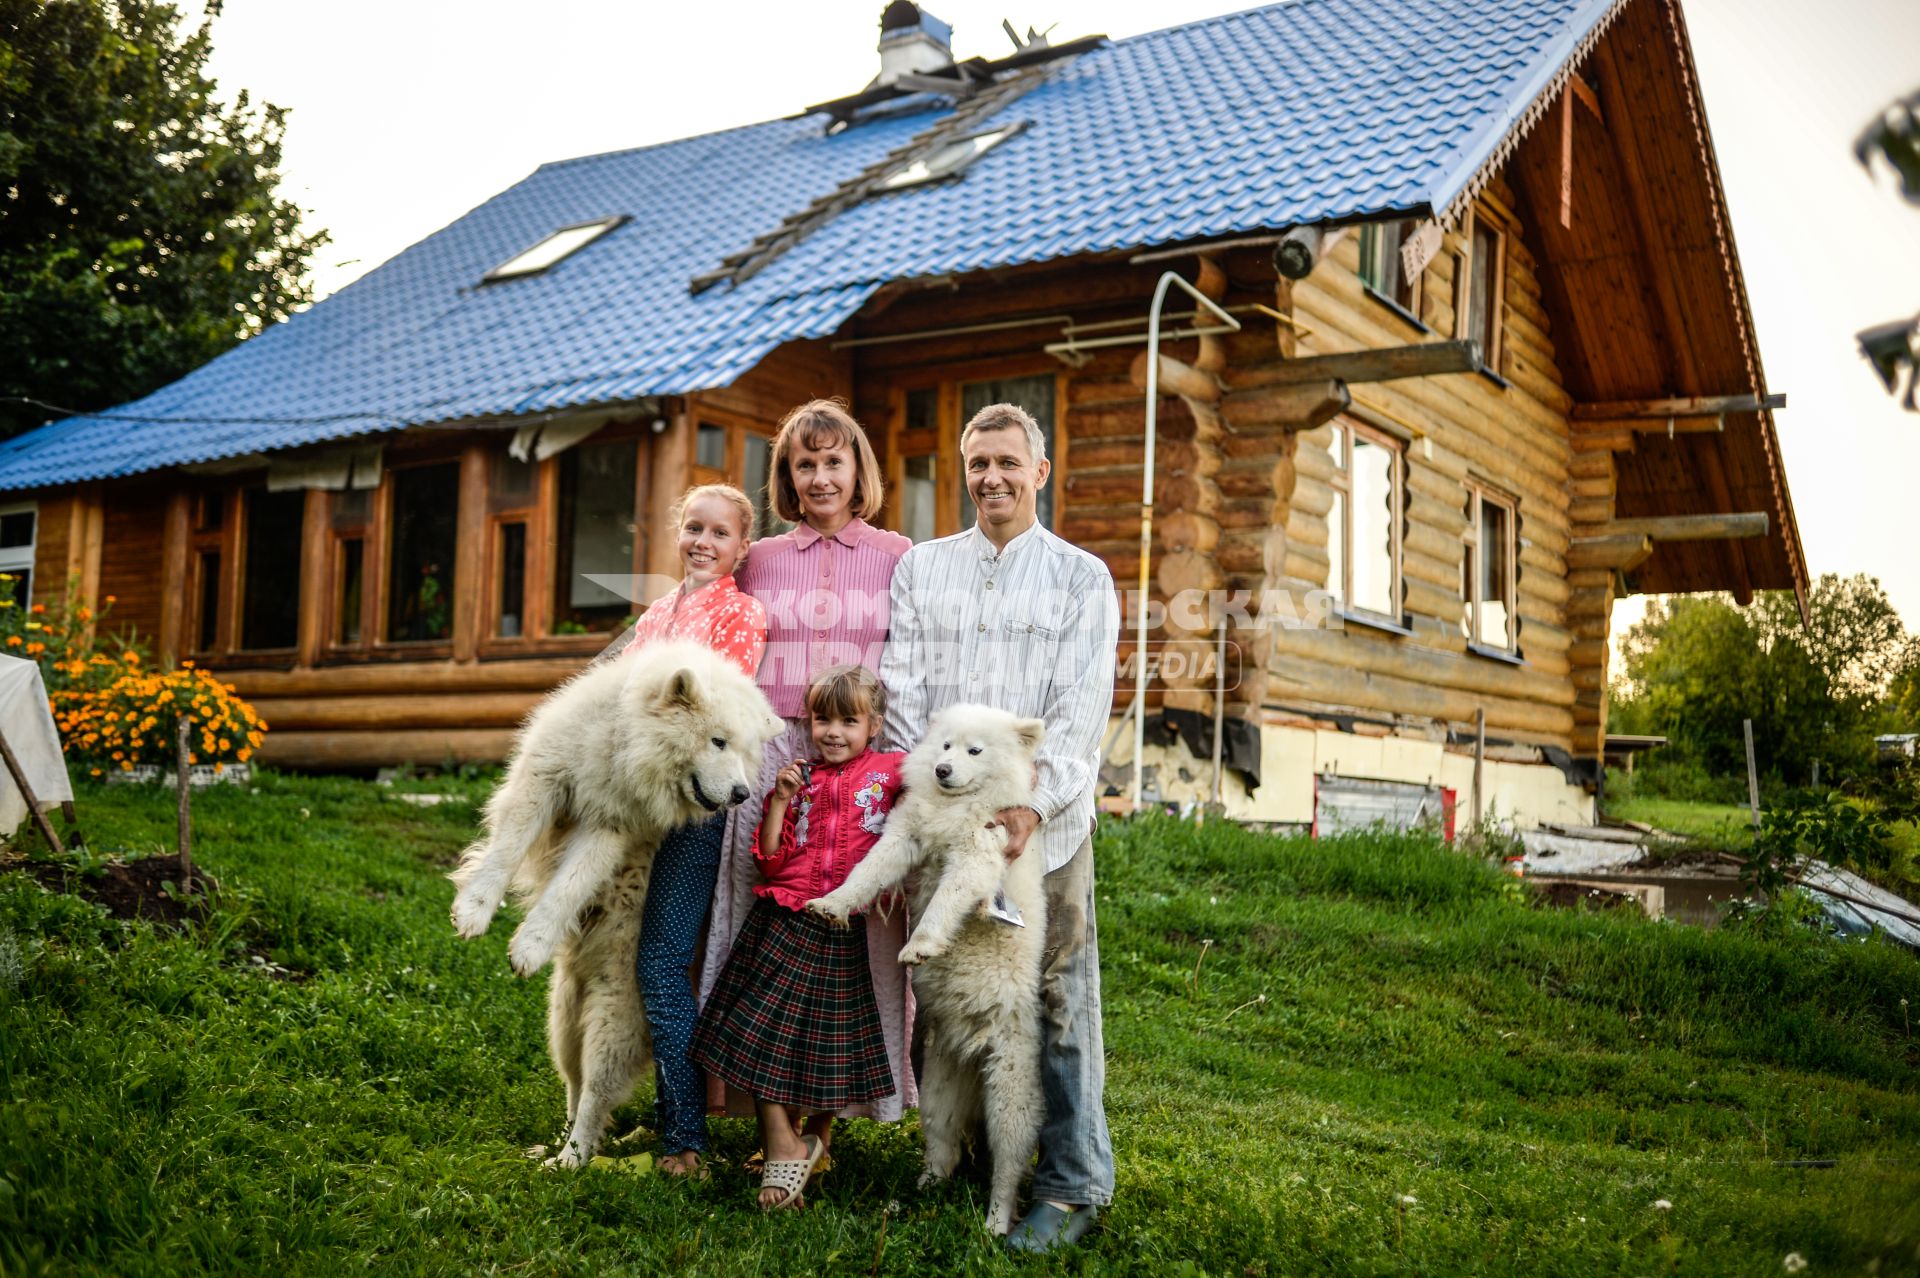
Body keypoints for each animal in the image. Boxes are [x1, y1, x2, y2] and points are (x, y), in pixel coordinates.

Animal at [449, 637, 779, 1166]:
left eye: (747, 752)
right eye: (718, 742)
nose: (741, 793)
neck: (621, 748)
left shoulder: (608, 831)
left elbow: (567, 888)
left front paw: (529, 945)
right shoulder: (545, 778)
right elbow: (507, 848)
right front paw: (475, 910)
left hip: (611, 1023)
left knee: (595, 1098)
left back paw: (571, 1160)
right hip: (563, 1020)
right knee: (574, 1085)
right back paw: (551, 1147)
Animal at [810, 702, 1052, 1228]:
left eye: (975, 750)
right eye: (944, 745)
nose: (942, 770)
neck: (954, 807)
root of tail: (971, 1050)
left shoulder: (978, 851)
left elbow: (945, 901)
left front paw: (920, 946)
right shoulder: (905, 835)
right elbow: (867, 872)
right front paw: (832, 904)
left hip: (1011, 1092)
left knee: (1007, 1165)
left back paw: (995, 1223)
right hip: (939, 1089)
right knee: (944, 1144)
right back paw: (920, 1192)